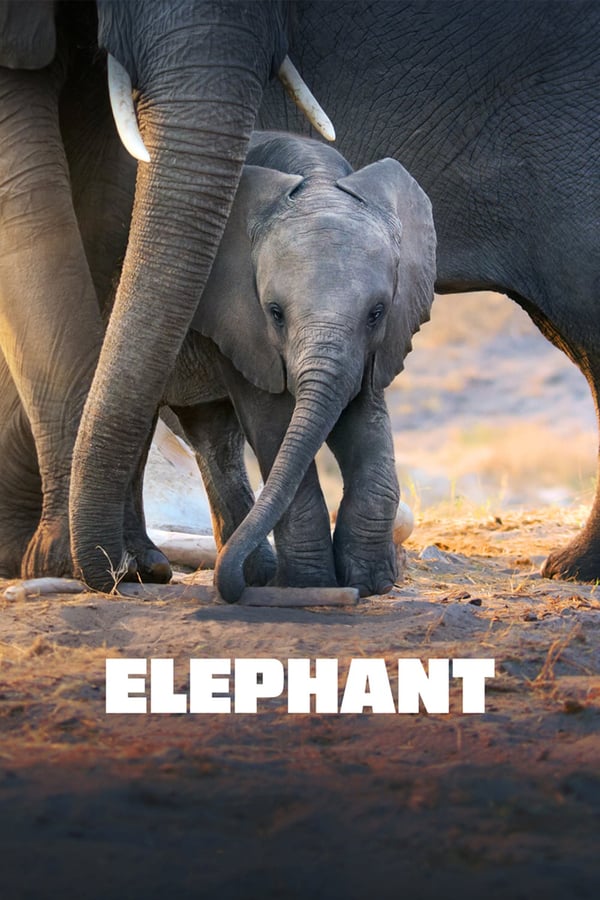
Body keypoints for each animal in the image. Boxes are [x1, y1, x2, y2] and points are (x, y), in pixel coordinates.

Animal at [160, 131, 435, 601]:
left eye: (377, 313)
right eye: (275, 313)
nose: (231, 588)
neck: (317, 179)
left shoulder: (375, 347)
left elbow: (364, 420)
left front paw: (371, 584)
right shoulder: (239, 318)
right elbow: (274, 423)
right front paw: (311, 585)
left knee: (212, 435)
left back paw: (254, 574)